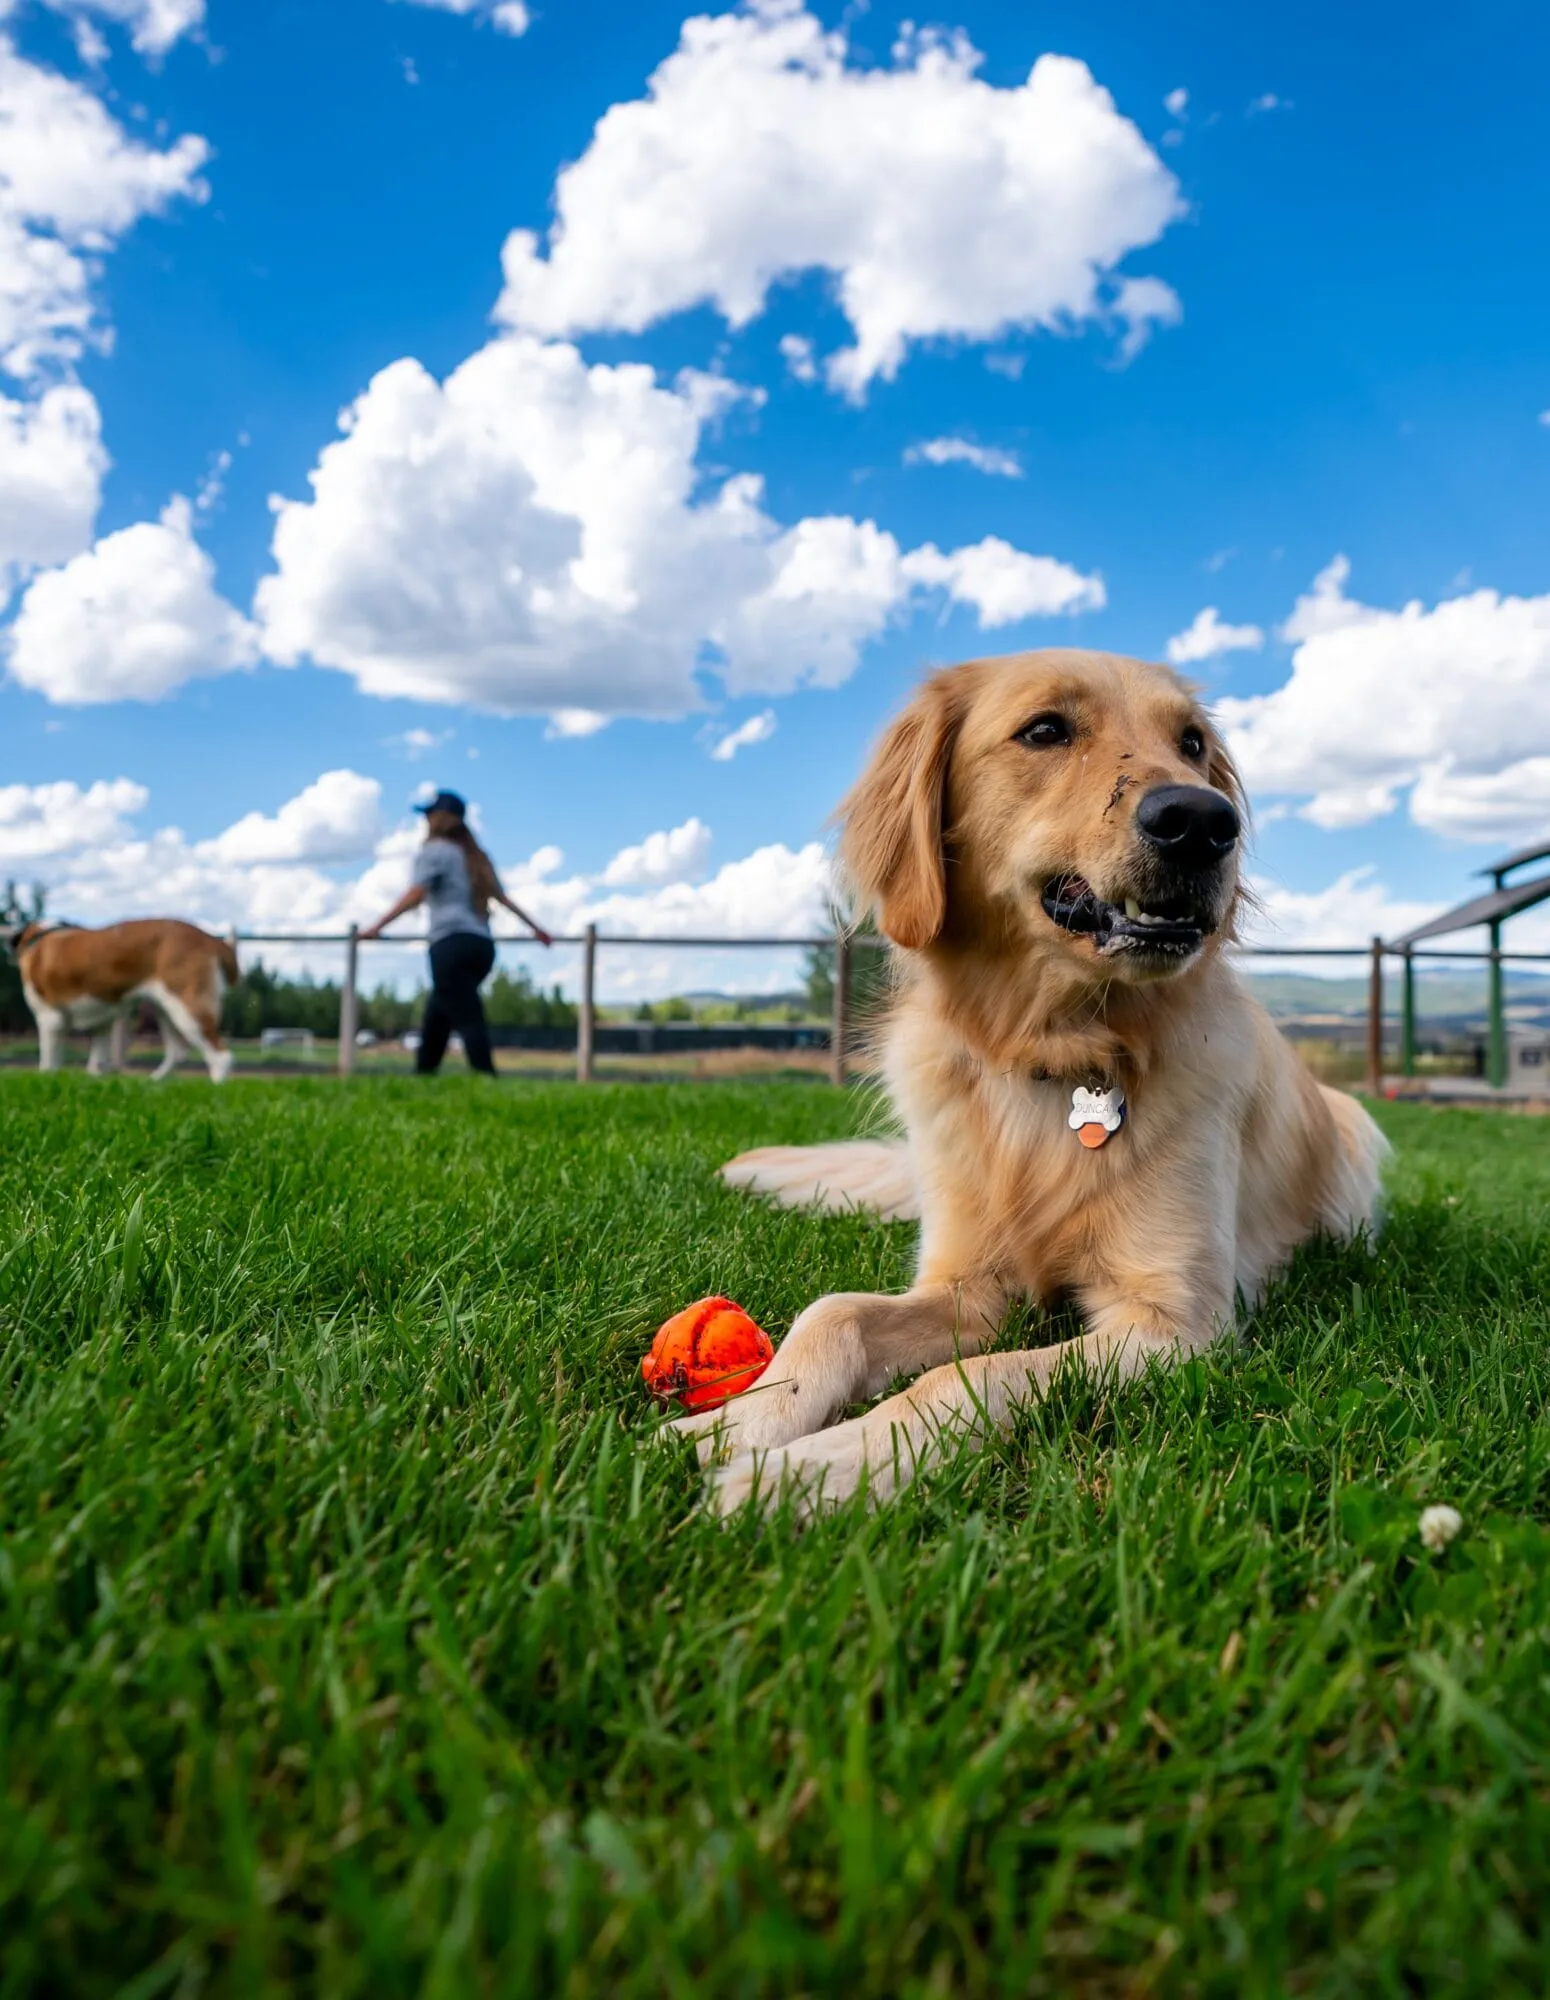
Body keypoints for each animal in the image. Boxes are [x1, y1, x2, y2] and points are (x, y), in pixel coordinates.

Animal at [2, 916, 239, 1080]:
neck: (40, 937)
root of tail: (211, 940)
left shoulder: (50, 1019)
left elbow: (49, 1061)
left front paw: (47, 1080)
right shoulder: (102, 1024)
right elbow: (96, 1061)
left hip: (187, 1008)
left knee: (221, 1057)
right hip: (166, 1010)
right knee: (178, 1051)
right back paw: (153, 1083)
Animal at [672, 656, 1392, 1512]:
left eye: (1191, 743)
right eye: (1045, 730)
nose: (1204, 821)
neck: (1056, 1052)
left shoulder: (1174, 1322)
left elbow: (969, 1375)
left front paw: (816, 1470)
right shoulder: (969, 1285)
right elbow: (833, 1312)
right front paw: (736, 1425)